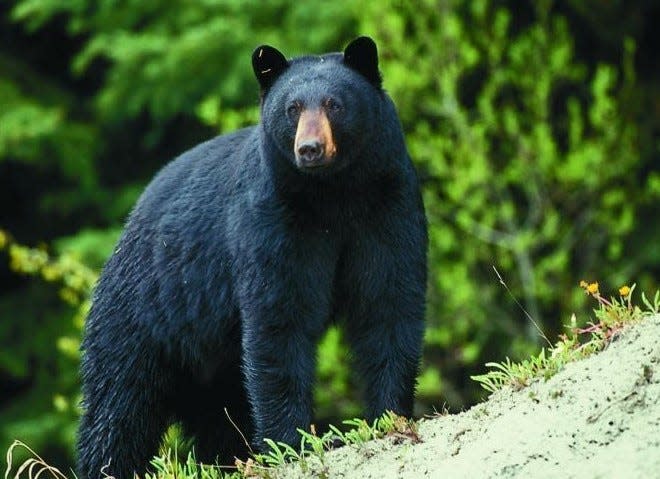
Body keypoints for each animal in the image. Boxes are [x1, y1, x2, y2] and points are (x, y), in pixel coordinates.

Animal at [77, 37, 428, 479]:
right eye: (292, 108)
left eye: (334, 104)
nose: (310, 149)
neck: (333, 193)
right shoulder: (272, 220)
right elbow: (278, 319)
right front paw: (295, 441)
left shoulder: (387, 205)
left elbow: (388, 300)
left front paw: (389, 416)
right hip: (144, 316)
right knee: (118, 404)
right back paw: (105, 464)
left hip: (210, 363)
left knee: (217, 415)